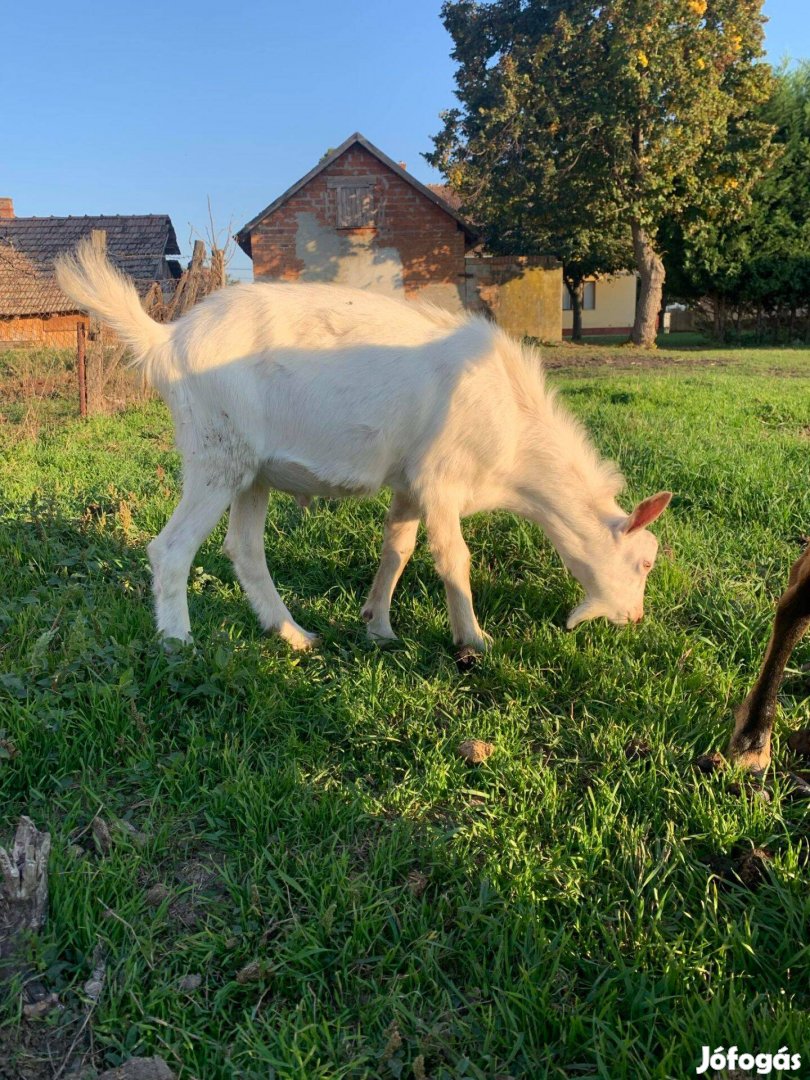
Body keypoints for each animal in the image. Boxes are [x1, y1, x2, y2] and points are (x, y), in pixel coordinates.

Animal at [54, 238, 669, 648]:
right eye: (644, 562)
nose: (636, 619)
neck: (516, 441)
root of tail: (167, 339)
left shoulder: (410, 482)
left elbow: (396, 550)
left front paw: (378, 624)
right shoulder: (441, 480)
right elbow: (455, 559)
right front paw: (473, 640)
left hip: (252, 471)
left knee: (245, 550)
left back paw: (293, 634)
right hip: (215, 455)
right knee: (171, 548)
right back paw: (179, 644)